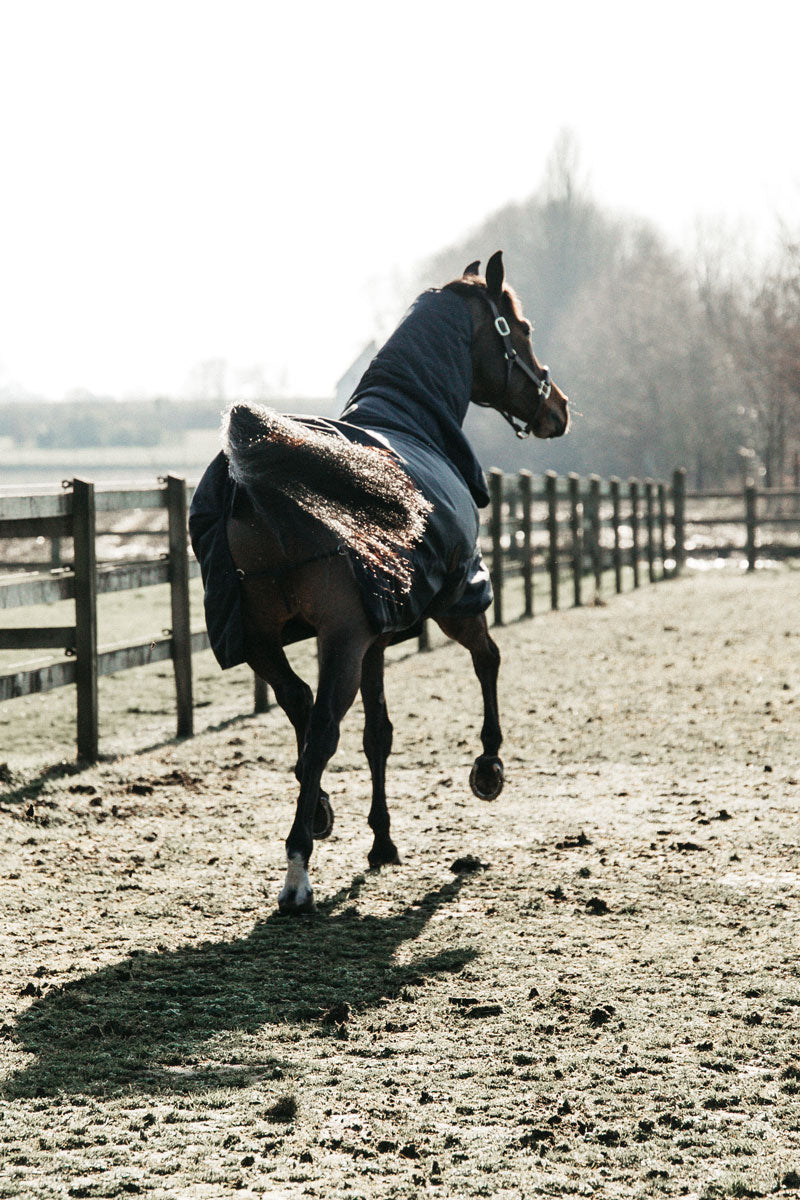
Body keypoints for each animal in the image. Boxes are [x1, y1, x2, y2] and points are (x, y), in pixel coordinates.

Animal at [189, 251, 569, 914]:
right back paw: (297, 873)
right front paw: (488, 767)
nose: (559, 408)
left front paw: (382, 841)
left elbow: (378, 736)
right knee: (320, 730)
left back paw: (317, 813)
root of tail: (254, 477)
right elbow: (488, 662)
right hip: (342, 637)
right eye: (519, 329)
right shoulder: (454, 601)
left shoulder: (375, 637)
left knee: (301, 709)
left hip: (260, 639)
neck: (408, 417)